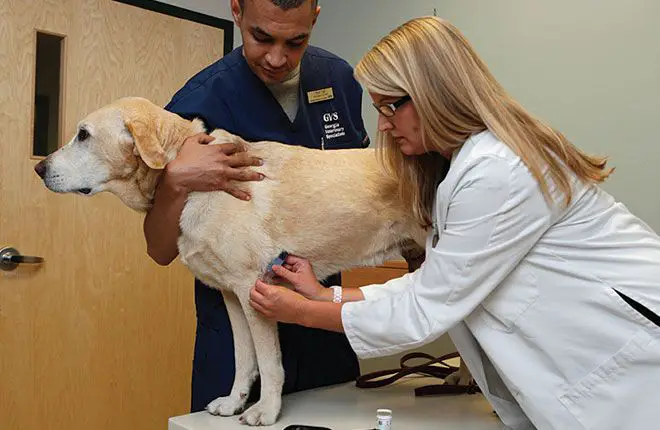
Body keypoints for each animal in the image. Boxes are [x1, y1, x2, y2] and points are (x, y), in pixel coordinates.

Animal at [33, 98, 430, 426]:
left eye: (83, 135)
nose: (39, 169)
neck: (191, 184)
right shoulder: (232, 296)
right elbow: (244, 358)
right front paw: (233, 402)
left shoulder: (253, 289)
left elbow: (269, 364)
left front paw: (266, 411)